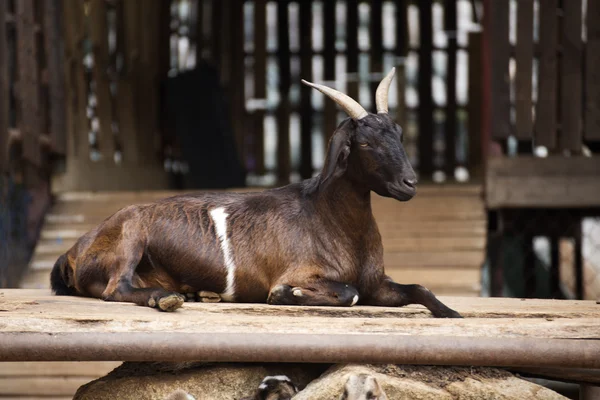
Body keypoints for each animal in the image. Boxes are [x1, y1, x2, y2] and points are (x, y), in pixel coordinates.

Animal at [50, 69, 464, 318]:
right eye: (363, 143)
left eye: (398, 133)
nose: (409, 183)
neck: (328, 218)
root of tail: (73, 251)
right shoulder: (302, 272)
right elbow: (347, 292)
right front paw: (286, 296)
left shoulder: (376, 282)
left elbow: (418, 287)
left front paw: (450, 312)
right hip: (131, 233)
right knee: (115, 287)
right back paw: (164, 298)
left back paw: (200, 294)